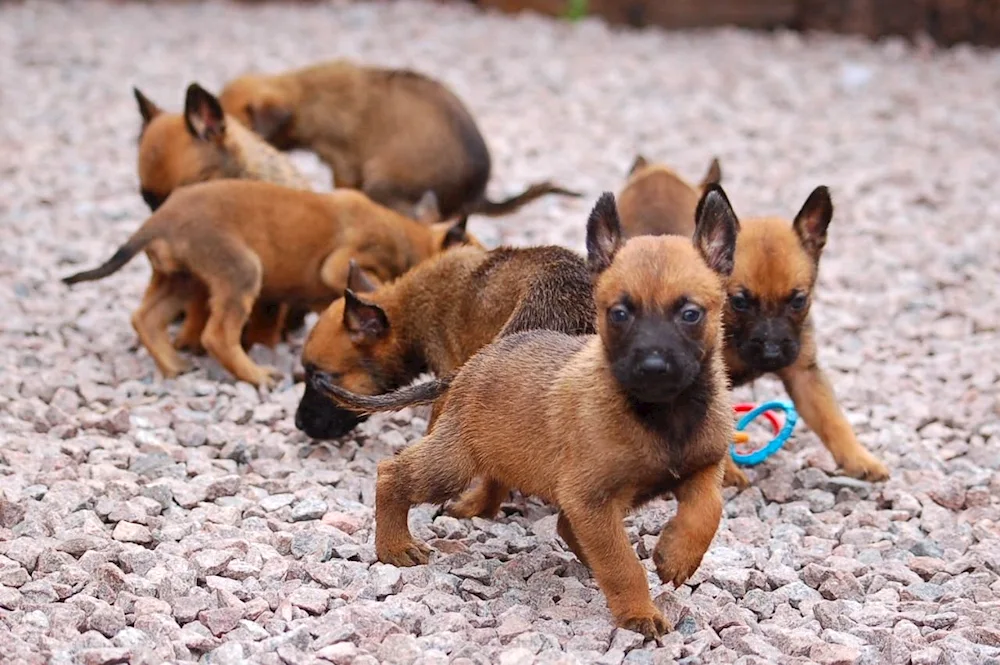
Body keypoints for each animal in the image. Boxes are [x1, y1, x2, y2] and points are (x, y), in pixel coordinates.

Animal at [316, 187, 740, 640]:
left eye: (691, 314)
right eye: (619, 313)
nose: (653, 366)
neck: (662, 417)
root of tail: (481, 358)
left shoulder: (702, 468)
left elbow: (708, 510)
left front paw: (677, 557)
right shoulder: (591, 497)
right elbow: (622, 563)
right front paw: (639, 613)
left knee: (556, 519)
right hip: (454, 461)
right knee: (393, 474)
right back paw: (395, 546)